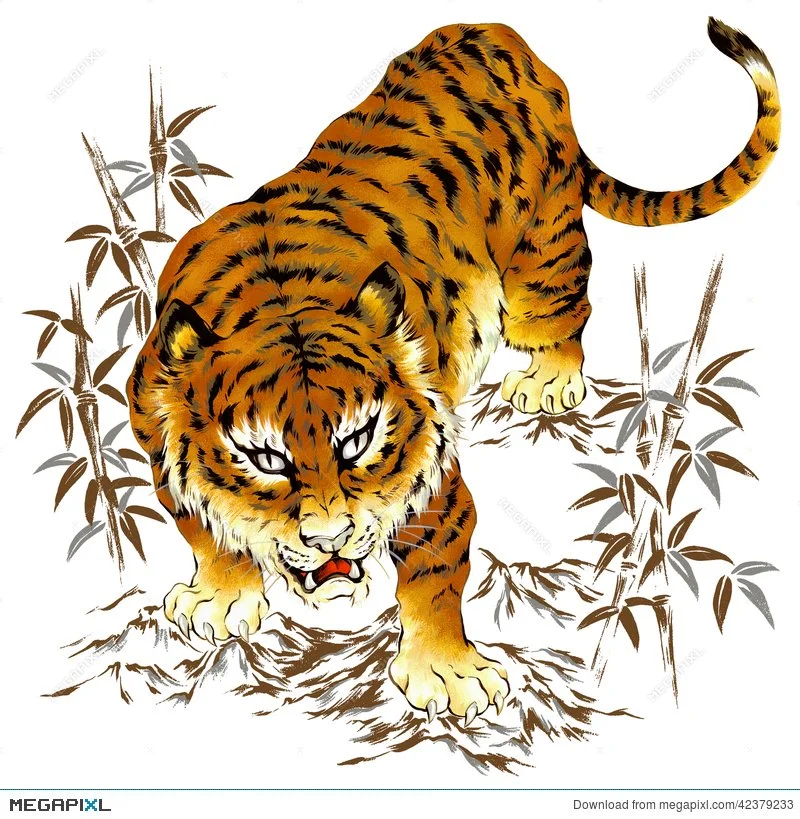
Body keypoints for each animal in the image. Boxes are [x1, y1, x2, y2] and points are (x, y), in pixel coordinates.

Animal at [128, 18, 779, 722]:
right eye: (266, 459)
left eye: (356, 441)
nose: (331, 540)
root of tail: (495, 32)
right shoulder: (152, 437)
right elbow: (201, 526)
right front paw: (218, 599)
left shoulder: (432, 486)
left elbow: (435, 573)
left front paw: (446, 672)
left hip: (543, 253)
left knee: (560, 317)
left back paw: (547, 384)